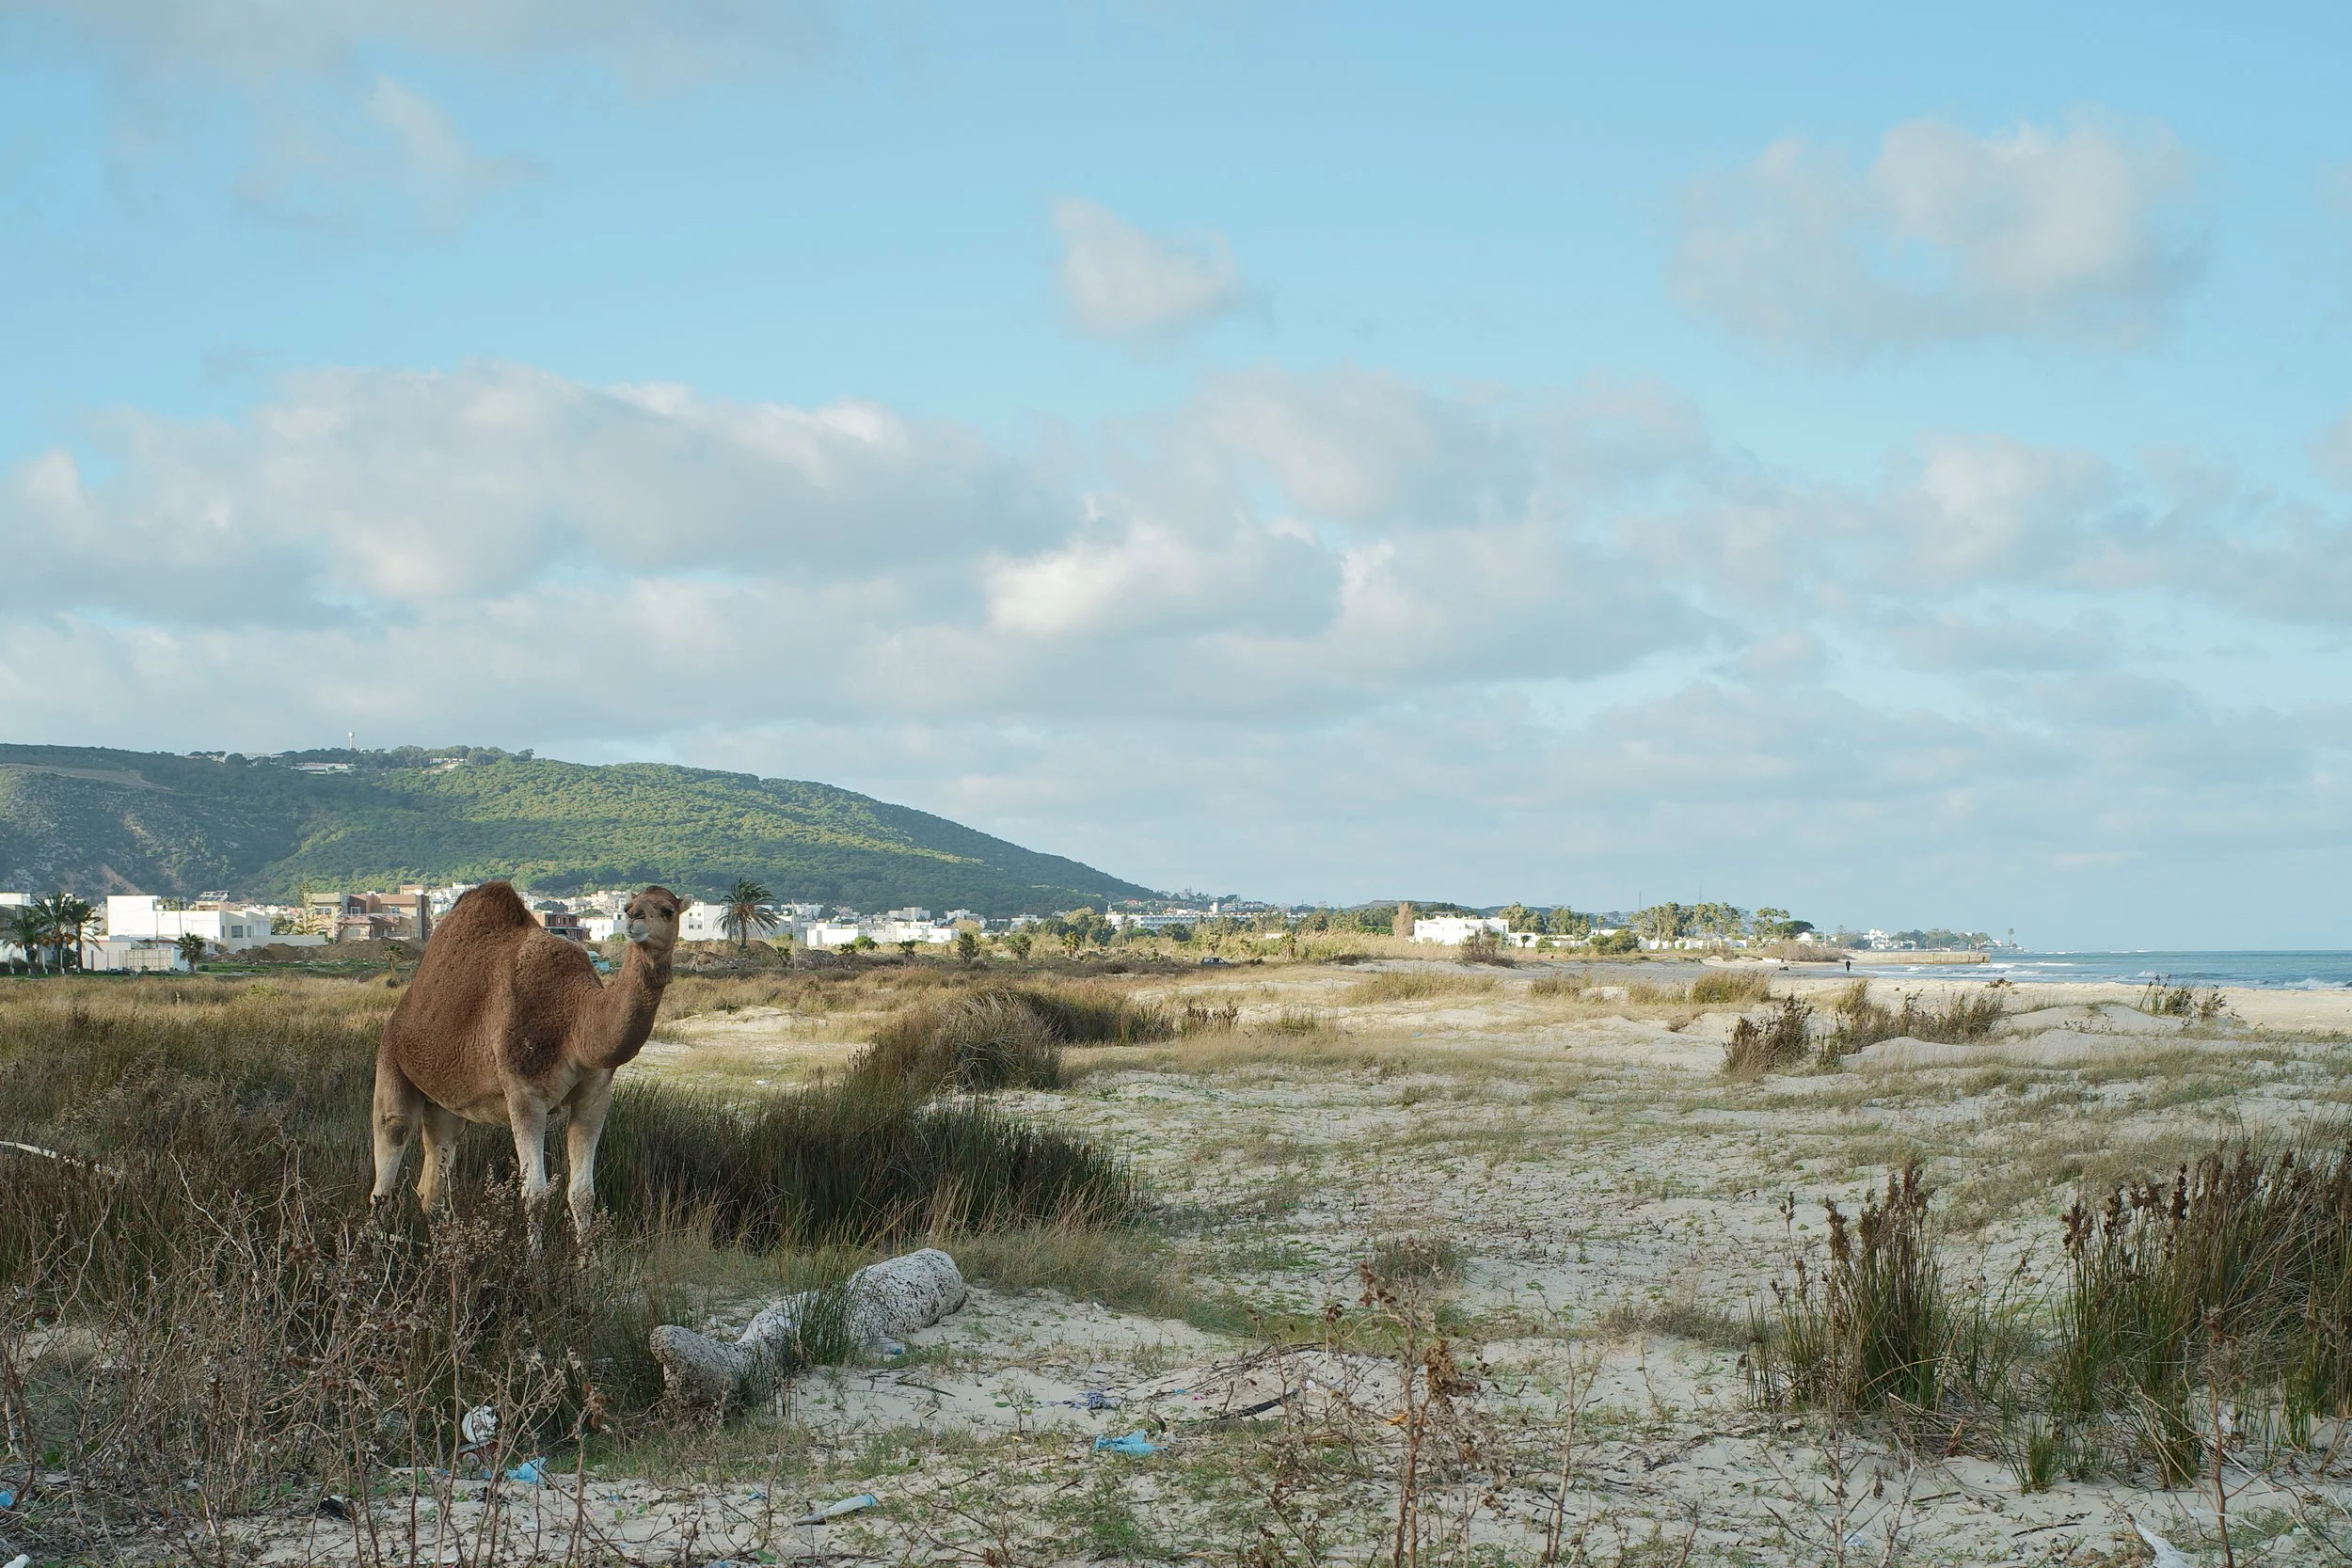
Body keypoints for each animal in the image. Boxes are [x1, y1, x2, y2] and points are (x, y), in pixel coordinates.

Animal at [370, 881, 684, 1235]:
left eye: (668, 910)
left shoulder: (595, 1098)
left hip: (444, 1101)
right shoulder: (524, 1094)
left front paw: (590, 1254)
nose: (634, 920)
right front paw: (536, 1254)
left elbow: (583, 1194)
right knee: (391, 1143)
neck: (576, 1020)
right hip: (392, 1060)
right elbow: (535, 1194)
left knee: (433, 1182)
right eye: (629, 906)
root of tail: (400, 1012)